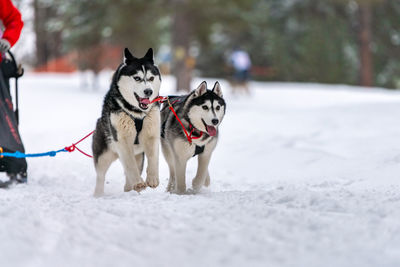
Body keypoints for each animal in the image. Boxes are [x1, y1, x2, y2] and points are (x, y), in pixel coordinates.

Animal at [93, 48, 162, 197]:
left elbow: (153, 158)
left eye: (151, 78)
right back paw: (98, 194)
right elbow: (130, 165)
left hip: (139, 156)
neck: (137, 113)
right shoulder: (122, 140)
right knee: (101, 176)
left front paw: (152, 178)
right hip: (104, 156)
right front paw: (138, 182)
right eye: (137, 78)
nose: (149, 91)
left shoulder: (152, 135)